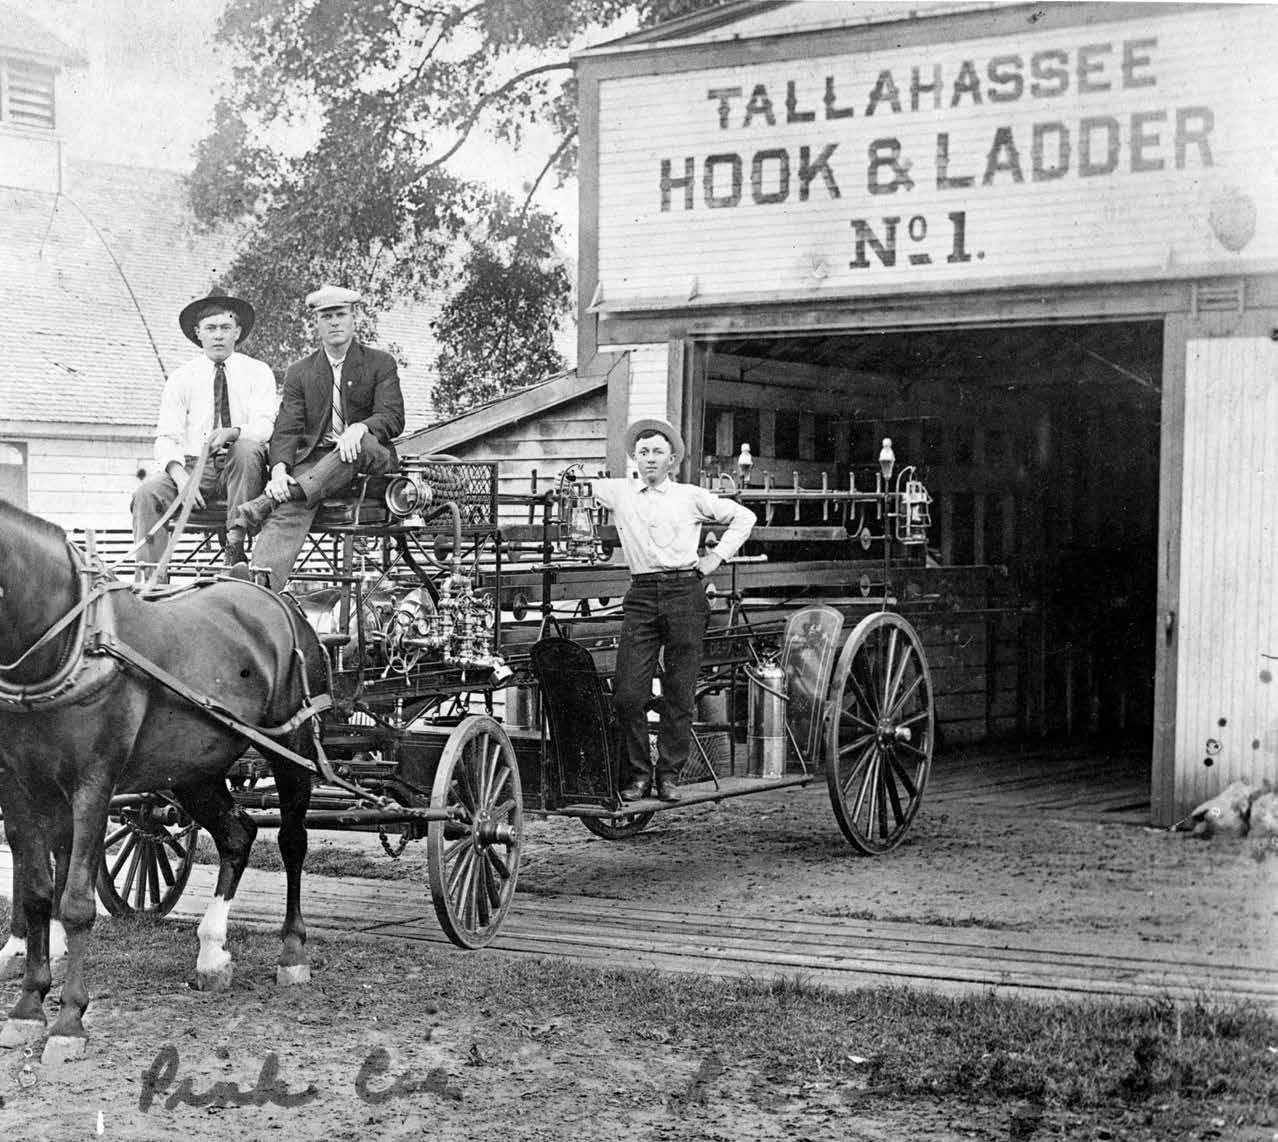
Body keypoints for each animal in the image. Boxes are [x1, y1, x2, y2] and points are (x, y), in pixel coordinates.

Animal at [0, 500, 329, 1063]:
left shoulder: (92, 785)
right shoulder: (22, 787)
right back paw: (212, 952)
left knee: (291, 841)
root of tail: (274, 596)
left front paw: (69, 1020)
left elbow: (76, 901)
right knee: (237, 834)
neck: (69, 639)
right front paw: (26, 1007)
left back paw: (291, 952)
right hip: (194, 770)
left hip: (292, 747)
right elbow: (37, 892)